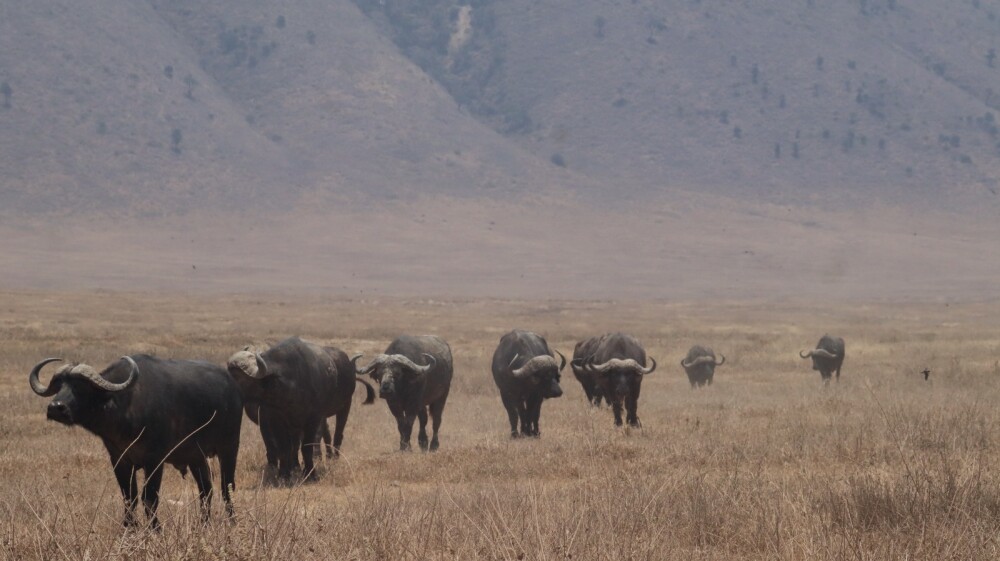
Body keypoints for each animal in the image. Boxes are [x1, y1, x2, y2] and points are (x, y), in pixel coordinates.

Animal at [29, 355, 242, 529]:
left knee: (227, 487)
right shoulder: (119, 459)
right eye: (59, 386)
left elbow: (149, 497)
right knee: (206, 489)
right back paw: (203, 524)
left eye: (80, 388)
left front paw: (155, 529)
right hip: (196, 457)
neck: (126, 406)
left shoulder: (155, 460)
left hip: (229, 448)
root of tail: (232, 387)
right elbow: (129, 496)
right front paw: (129, 528)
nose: (55, 408)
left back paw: (232, 522)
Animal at [227, 337, 375, 482]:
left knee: (338, 432)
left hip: (345, 405)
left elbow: (307, 446)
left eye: (239, 378)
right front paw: (284, 475)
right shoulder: (276, 419)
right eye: (229, 373)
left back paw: (334, 458)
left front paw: (310, 474)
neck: (289, 385)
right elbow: (284, 447)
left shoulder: (314, 418)